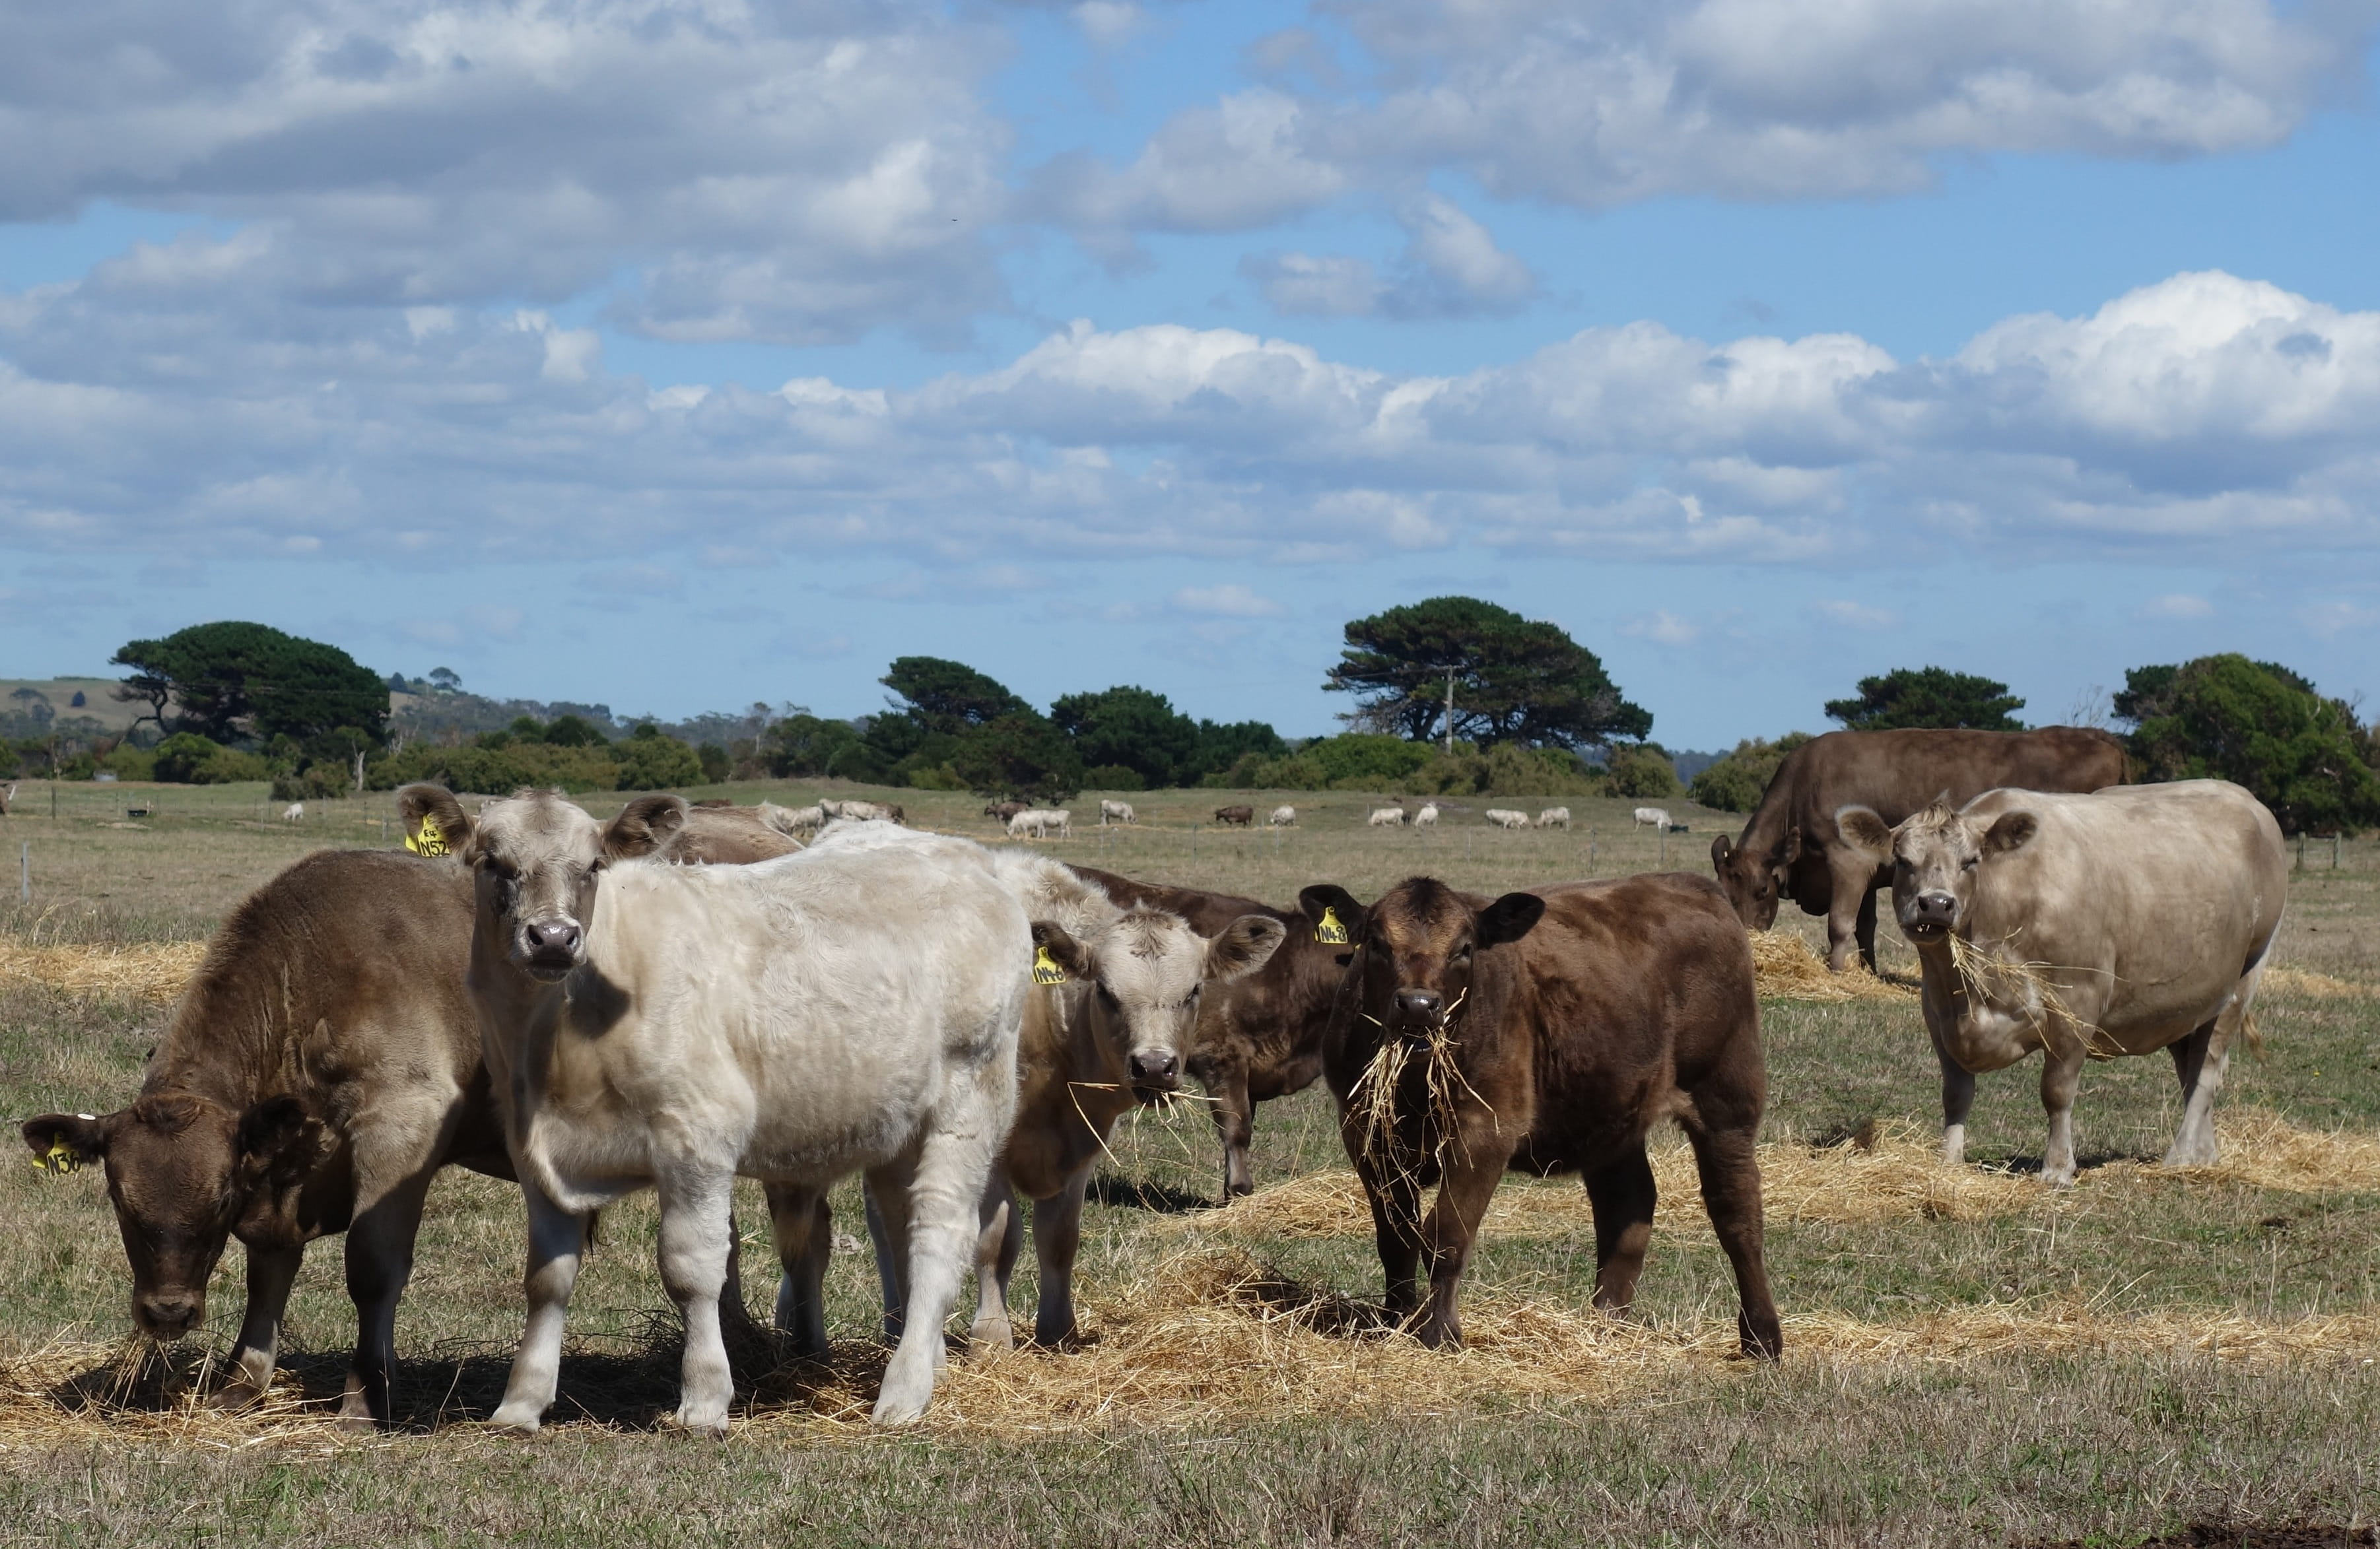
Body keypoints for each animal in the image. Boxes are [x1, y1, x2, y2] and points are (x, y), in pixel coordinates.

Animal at [435, 788, 1027, 1431]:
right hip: (899, 1125)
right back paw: (928, 1361)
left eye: (592, 865)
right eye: (492, 861)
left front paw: (704, 1398)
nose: (552, 937)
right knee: (900, 1228)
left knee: (941, 1231)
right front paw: (520, 1401)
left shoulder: (697, 1136)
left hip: (970, 1097)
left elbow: (691, 1269)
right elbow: (547, 1278)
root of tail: (968, 857)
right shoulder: (536, 1151)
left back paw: (904, 1390)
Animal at [1300, 875, 1780, 1358]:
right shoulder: (1364, 1134)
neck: (1416, 1082)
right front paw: (1395, 1322)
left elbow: (1446, 1234)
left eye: (1465, 948)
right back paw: (1604, 1323)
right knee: (1626, 1205)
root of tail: (1693, 885)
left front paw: (1440, 1332)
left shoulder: (1486, 1131)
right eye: (1376, 943)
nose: (1418, 1005)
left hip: (1726, 1100)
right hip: (1612, 1113)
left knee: (1737, 1214)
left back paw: (1762, 1336)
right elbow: (1396, 1238)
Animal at [1710, 727, 2127, 973]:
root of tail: (2098, 736)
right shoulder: (1870, 869)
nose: (1742, 946)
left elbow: (1840, 924)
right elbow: (1865, 926)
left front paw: (1837, 973)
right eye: (1724, 893)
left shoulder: (1847, 860)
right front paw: (1870, 972)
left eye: (1761, 890)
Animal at [1836, 780, 2285, 1187]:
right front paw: (1948, 1160)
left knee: (2208, 1068)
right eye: (1902, 860)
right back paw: (2203, 1155)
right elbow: (1956, 1091)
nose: (1936, 905)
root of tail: (2247, 798)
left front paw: (2056, 1169)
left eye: (1972, 861)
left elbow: (2056, 1091)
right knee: (2191, 1069)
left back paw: (2179, 1156)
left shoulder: (2077, 1004)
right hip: (2183, 1001)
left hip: (2245, 975)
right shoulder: (1938, 1011)